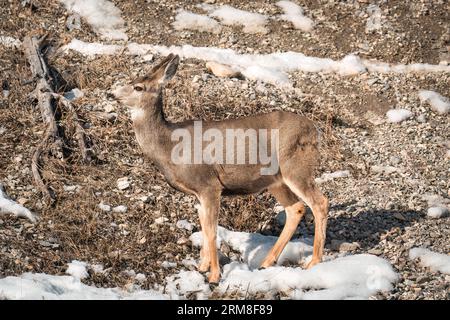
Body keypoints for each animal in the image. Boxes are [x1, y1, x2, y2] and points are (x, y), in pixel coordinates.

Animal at [114, 53, 328, 284]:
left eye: (138, 87)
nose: (111, 93)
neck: (170, 146)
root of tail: (315, 130)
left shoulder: (209, 185)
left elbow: (212, 231)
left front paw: (214, 276)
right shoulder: (197, 193)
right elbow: (204, 228)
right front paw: (201, 267)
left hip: (296, 167)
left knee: (320, 202)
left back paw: (314, 262)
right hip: (275, 180)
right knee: (296, 208)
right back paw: (266, 263)